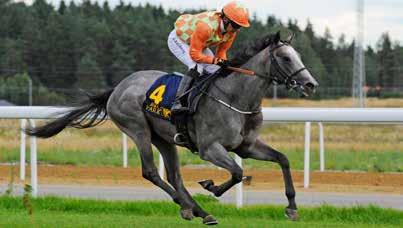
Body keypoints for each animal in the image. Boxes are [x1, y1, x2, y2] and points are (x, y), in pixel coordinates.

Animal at [26, 31, 320, 224]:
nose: (310, 84)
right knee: (151, 172)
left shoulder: (246, 146)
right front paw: (212, 186)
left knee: (174, 176)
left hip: (165, 139)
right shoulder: (209, 149)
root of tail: (118, 87)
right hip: (138, 130)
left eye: (297, 55)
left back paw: (197, 210)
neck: (235, 96)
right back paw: (191, 207)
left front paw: (292, 207)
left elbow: (282, 159)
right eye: (285, 58)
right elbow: (237, 173)